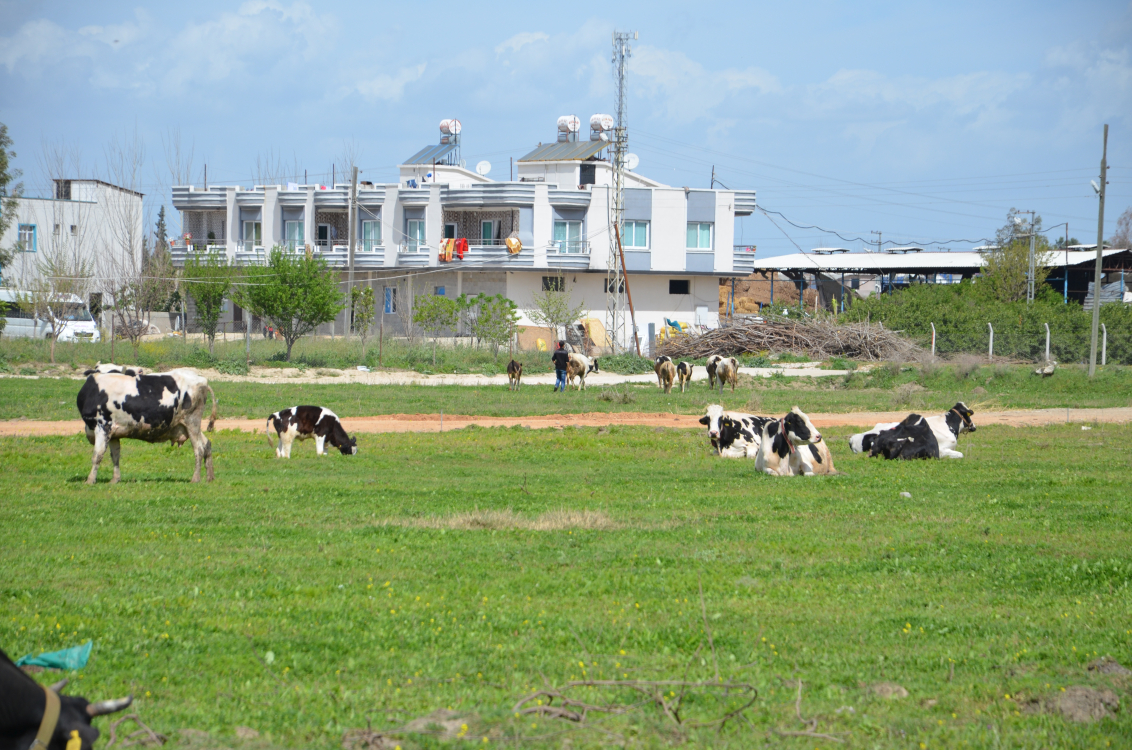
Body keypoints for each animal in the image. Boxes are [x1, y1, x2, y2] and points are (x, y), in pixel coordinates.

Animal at [76, 366, 216, 484]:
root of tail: (201, 379)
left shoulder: (103, 426)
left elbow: (97, 455)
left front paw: (90, 480)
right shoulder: (113, 433)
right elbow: (115, 456)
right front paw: (115, 479)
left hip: (192, 421)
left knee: (199, 449)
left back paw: (195, 478)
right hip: (187, 426)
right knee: (207, 444)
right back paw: (210, 477)